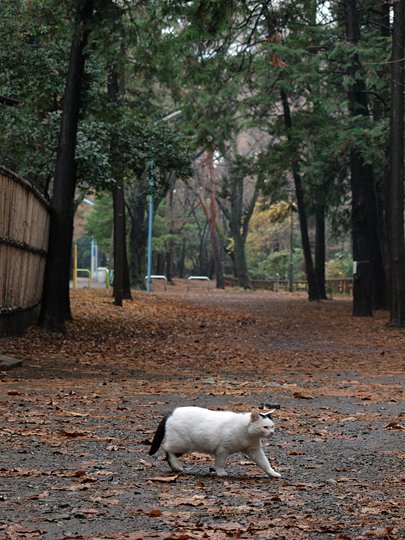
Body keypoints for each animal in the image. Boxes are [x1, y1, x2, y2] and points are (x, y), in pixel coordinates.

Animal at [148, 404, 280, 476]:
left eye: (272, 426)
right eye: (265, 427)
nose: (272, 432)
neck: (247, 434)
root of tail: (171, 412)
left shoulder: (254, 450)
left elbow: (265, 462)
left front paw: (272, 473)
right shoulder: (222, 450)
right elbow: (220, 463)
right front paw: (220, 472)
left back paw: (175, 468)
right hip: (182, 444)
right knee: (167, 449)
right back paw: (176, 466)